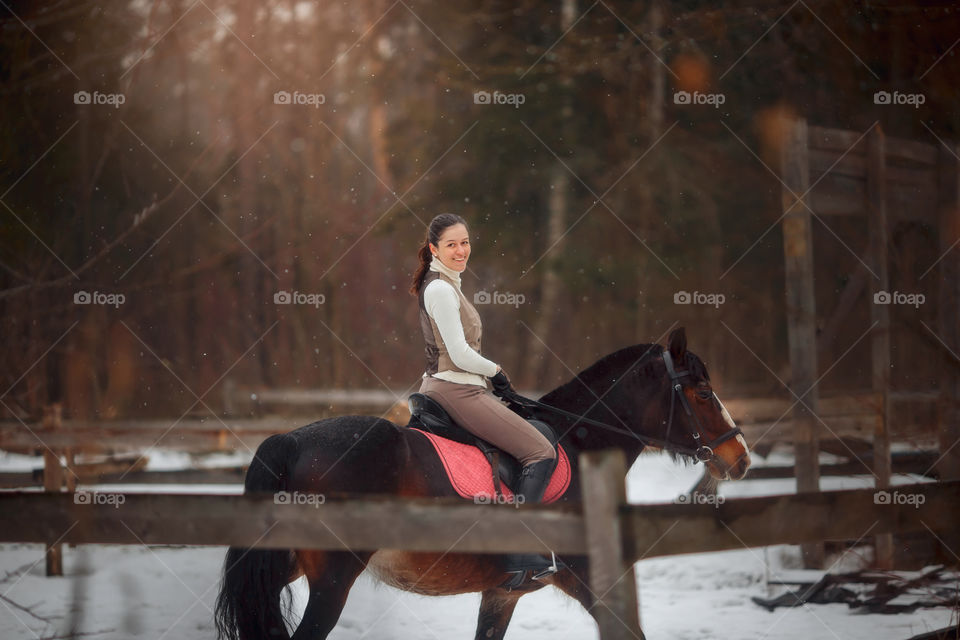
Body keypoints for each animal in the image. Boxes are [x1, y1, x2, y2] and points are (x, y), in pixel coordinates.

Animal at [216, 330, 752, 640]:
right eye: (704, 393)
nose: (741, 458)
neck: (579, 443)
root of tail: (290, 439)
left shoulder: (502, 594)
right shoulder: (589, 579)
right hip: (332, 580)